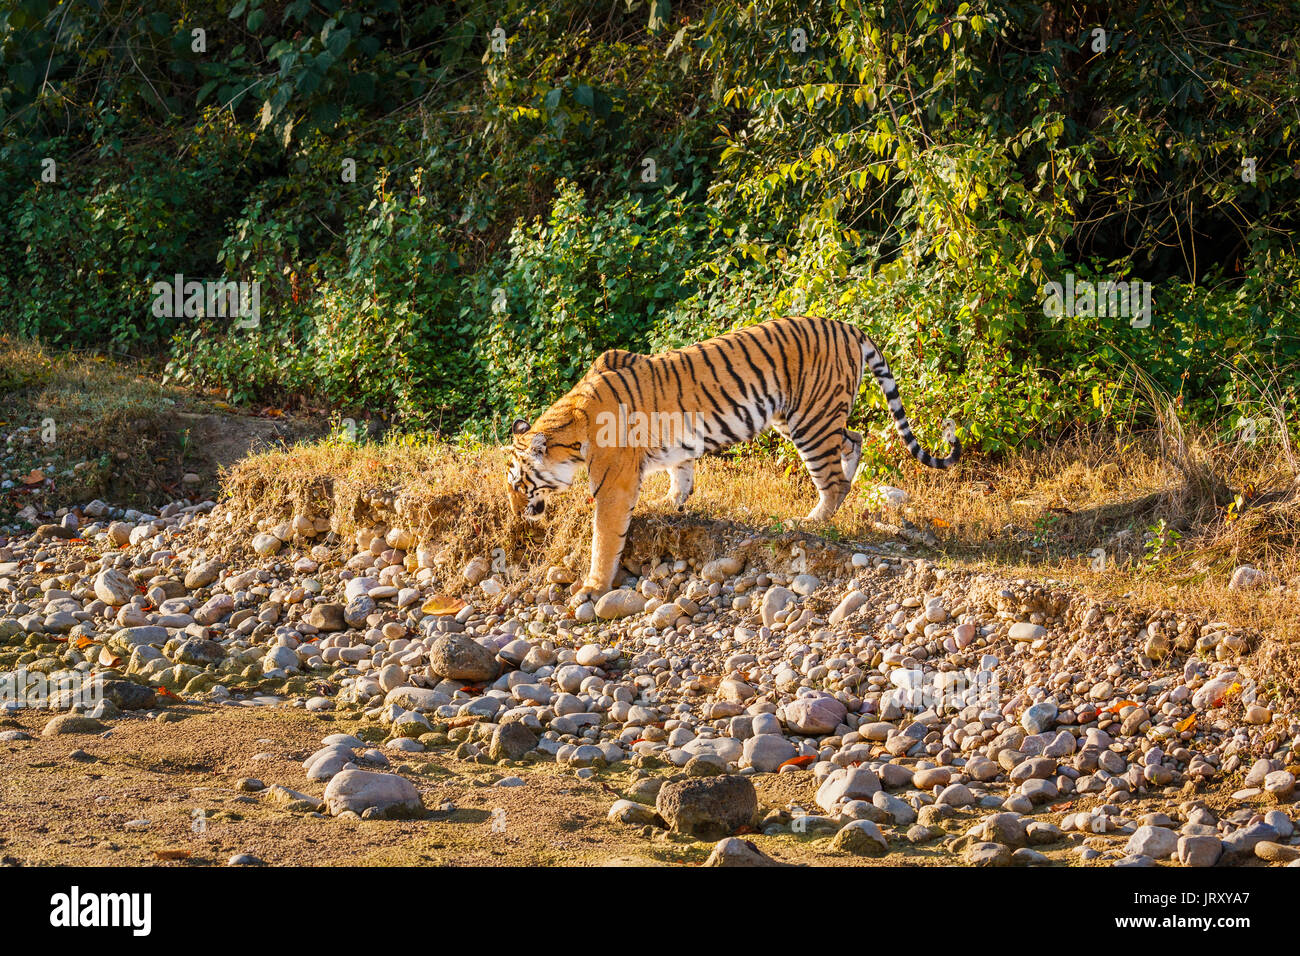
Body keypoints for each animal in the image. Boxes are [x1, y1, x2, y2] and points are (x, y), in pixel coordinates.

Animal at [501, 317, 961, 608]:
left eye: (520, 484)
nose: (517, 515)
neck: (572, 428)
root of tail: (847, 326)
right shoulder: (670, 441)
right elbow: (680, 473)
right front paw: (672, 504)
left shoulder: (612, 485)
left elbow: (604, 538)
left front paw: (593, 588)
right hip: (809, 418)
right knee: (854, 440)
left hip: (809, 421)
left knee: (832, 480)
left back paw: (811, 521)